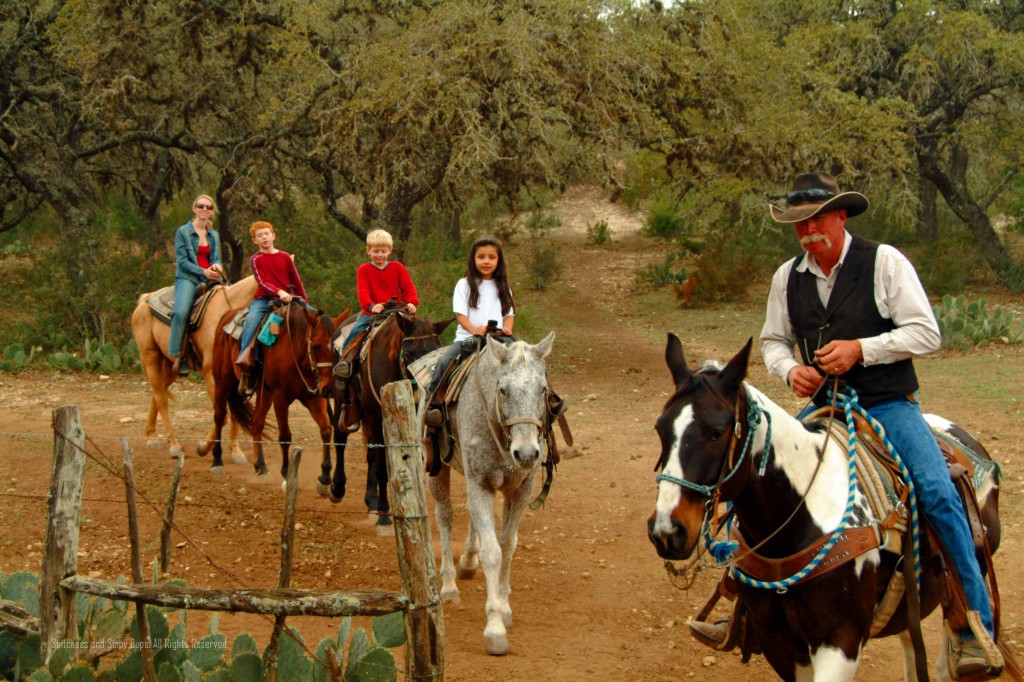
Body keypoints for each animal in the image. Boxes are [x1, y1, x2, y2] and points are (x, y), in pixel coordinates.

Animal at [130, 274, 258, 458]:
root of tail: (145, 300)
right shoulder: (211, 375)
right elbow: (222, 415)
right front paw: (203, 447)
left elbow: (235, 412)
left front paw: (235, 450)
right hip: (150, 357)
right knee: (161, 399)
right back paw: (174, 445)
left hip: (170, 366)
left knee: (157, 393)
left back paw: (152, 436)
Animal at [197, 296, 350, 477]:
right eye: (316, 346)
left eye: (337, 347)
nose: (330, 388)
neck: (296, 354)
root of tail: (226, 317)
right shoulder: (280, 398)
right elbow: (285, 435)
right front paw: (285, 471)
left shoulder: (314, 397)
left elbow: (326, 429)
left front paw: (325, 474)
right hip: (223, 382)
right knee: (220, 417)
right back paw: (217, 461)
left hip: (264, 393)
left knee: (257, 423)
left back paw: (260, 465)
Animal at [315, 309, 452, 536]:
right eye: (409, 353)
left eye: (434, 354)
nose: (421, 395)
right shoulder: (376, 417)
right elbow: (381, 468)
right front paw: (384, 517)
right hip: (342, 400)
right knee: (341, 440)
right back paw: (337, 488)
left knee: (370, 454)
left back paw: (370, 501)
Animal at [415, 329, 557, 655]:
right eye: (502, 390)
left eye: (543, 389)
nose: (527, 453)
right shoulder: (480, 483)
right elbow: (493, 552)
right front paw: (494, 628)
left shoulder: (520, 491)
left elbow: (507, 545)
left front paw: (504, 608)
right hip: (436, 470)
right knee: (445, 516)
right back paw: (449, 585)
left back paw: (468, 561)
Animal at [647, 335, 1015, 679]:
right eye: (660, 429)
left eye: (716, 432)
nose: (667, 531)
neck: (799, 519)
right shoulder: (780, 644)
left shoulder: (840, 644)